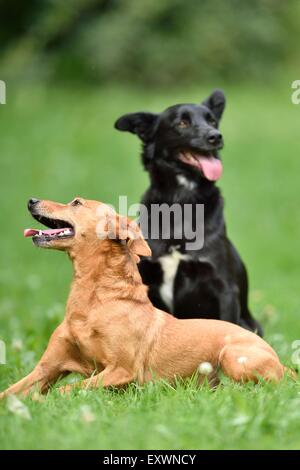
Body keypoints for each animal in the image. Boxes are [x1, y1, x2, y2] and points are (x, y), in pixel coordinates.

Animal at [0, 198, 292, 400]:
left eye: (76, 202)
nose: (31, 200)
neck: (94, 302)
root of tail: (280, 361)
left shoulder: (122, 371)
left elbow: (66, 390)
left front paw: (41, 402)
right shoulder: (46, 369)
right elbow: (11, 392)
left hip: (232, 355)